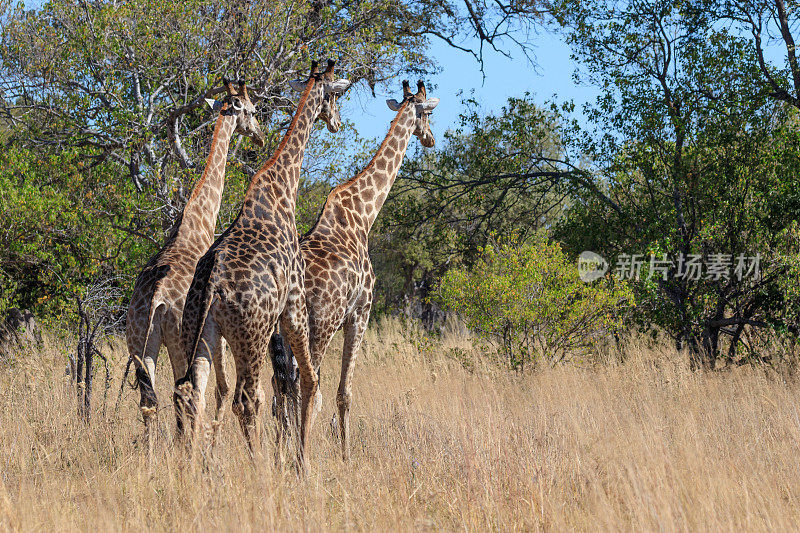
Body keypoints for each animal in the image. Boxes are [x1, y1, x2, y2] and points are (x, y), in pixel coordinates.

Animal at [123, 80, 264, 436]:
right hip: (178, 342)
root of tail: (157, 298)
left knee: (150, 402)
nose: (259, 135)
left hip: (138, 341)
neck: (196, 224)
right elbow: (222, 389)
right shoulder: (216, 336)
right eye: (251, 110)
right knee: (186, 396)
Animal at [175, 59, 350, 462]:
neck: (283, 186)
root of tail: (212, 288)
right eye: (335, 94)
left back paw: (193, 466)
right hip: (249, 335)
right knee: (246, 399)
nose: (335, 122)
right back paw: (260, 468)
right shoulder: (294, 304)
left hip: (202, 333)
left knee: (194, 392)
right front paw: (301, 459)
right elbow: (307, 380)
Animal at [272, 79, 440, 458]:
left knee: (282, 387)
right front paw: (346, 456)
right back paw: (301, 457)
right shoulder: (360, 312)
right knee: (307, 385)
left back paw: (279, 455)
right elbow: (344, 393)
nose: (430, 138)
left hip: (277, 336)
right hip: (318, 327)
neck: (363, 216)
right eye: (429, 112)